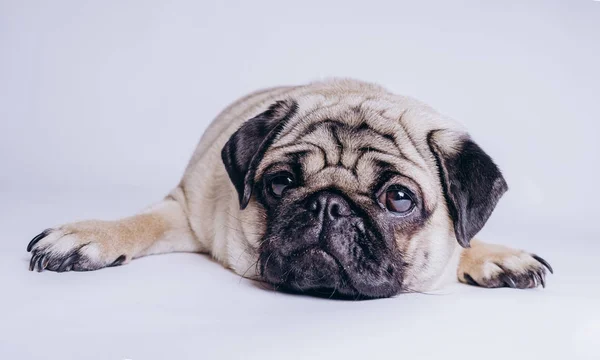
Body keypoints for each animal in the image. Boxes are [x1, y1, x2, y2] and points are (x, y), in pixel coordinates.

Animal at [27, 79, 552, 298]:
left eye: (399, 198)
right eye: (281, 183)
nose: (328, 205)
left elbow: (463, 240)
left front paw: (491, 254)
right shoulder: (185, 208)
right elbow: (142, 221)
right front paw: (90, 235)